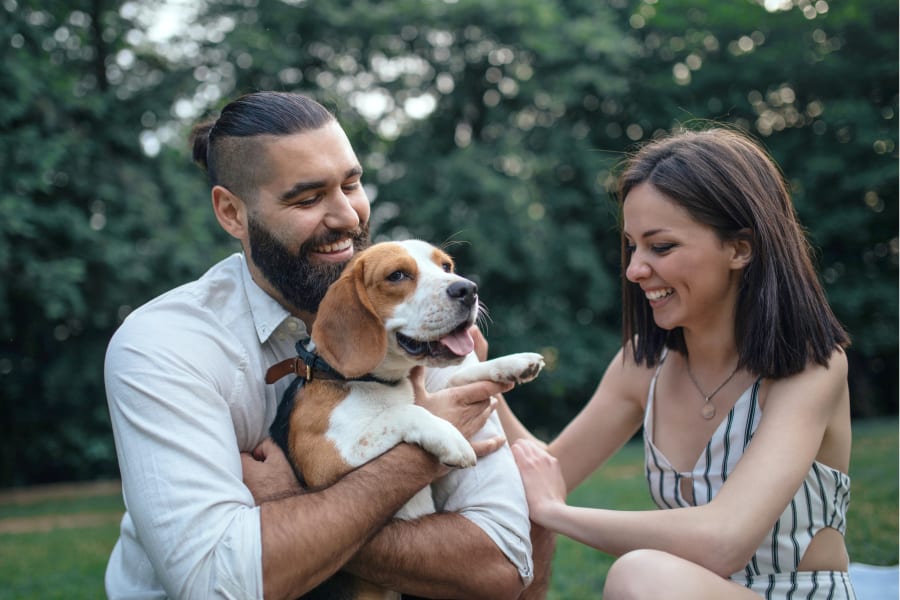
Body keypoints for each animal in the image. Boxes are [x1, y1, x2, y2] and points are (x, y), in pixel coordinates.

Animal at [264, 239, 544, 600]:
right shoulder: (324, 459)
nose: (468, 289)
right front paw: (451, 438)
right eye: (397, 275)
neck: (375, 381)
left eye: (446, 266)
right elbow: (405, 411)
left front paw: (513, 363)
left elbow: (457, 379)